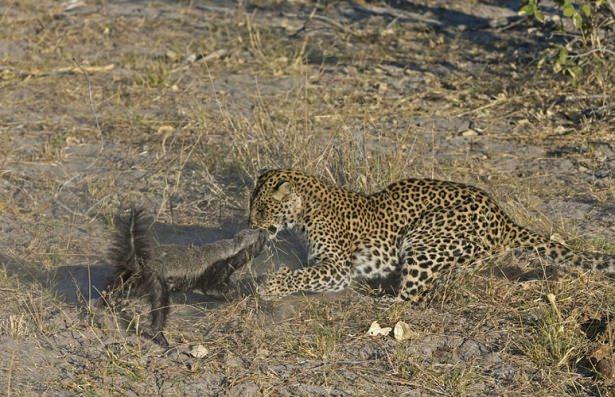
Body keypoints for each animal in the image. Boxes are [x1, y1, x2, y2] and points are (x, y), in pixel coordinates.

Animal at [248, 167, 612, 300]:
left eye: (262, 209)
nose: (250, 225)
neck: (304, 211)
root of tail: (504, 217)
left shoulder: (337, 267)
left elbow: (305, 275)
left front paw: (272, 286)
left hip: (424, 240)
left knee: (411, 298)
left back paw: (379, 298)